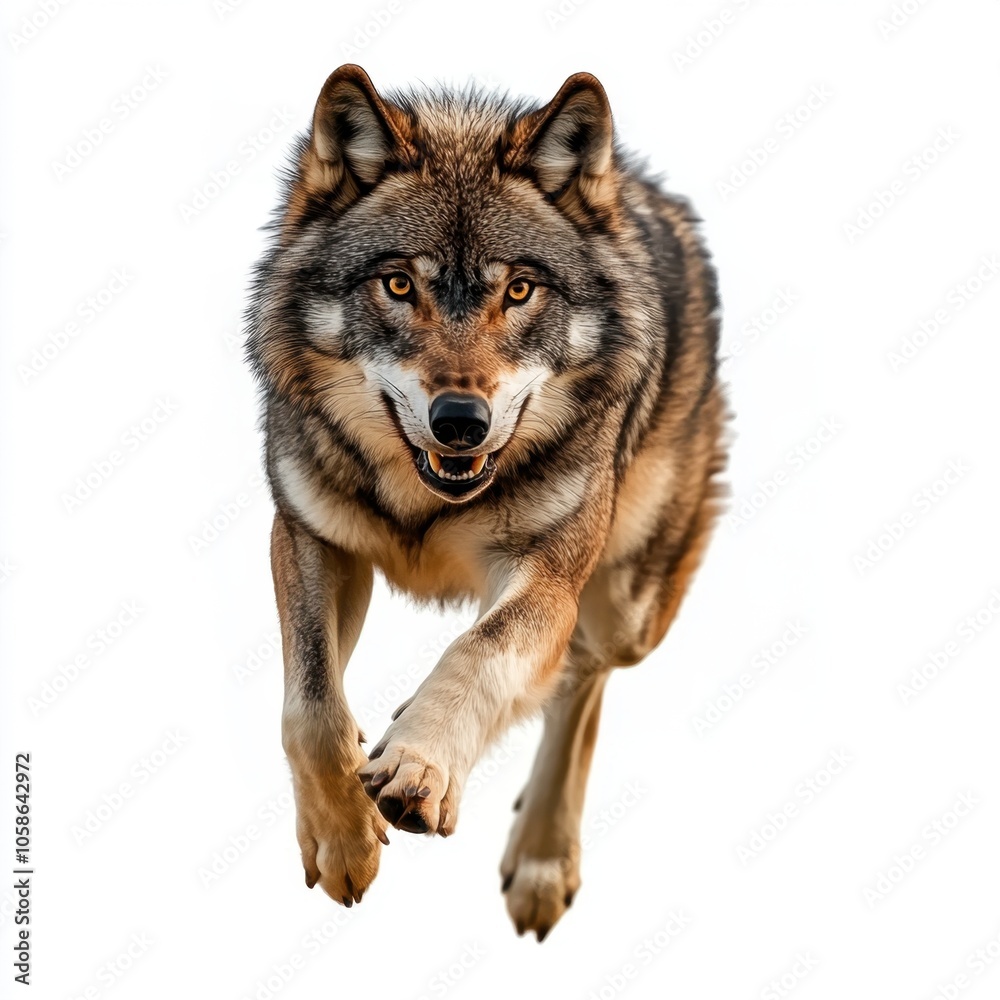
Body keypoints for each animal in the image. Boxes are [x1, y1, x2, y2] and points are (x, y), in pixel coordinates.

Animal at [246, 64, 726, 941]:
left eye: (521, 290)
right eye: (400, 284)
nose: (460, 422)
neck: (427, 504)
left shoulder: (549, 575)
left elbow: (482, 650)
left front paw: (420, 763)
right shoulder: (307, 536)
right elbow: (312, 707)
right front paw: (344, 840)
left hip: (627, 607)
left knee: (581, 677)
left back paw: (540, 856)